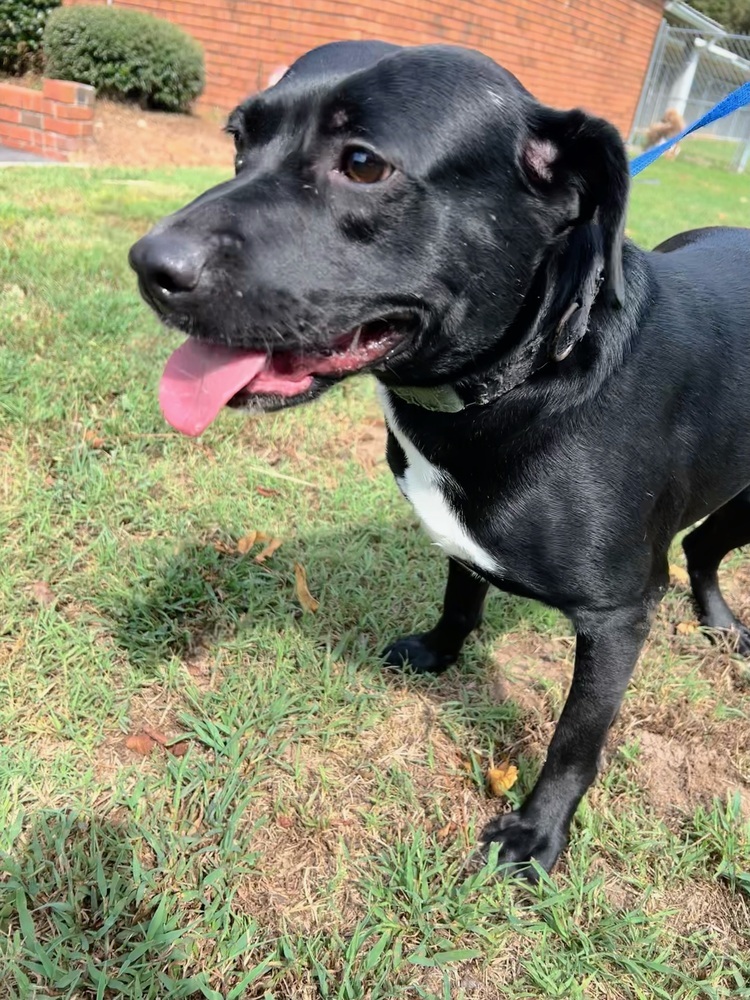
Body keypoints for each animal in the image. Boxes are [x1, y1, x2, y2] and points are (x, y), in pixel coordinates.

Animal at [129, 45, 750, 876]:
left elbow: (576, 738)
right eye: (238, 140)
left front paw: (538, 834)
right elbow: (462, 594)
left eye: (363, 164)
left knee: (704, 547)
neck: (529, 372)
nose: (148, 264)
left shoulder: (618, 615)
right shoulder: (462, 538)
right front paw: (440, 650)